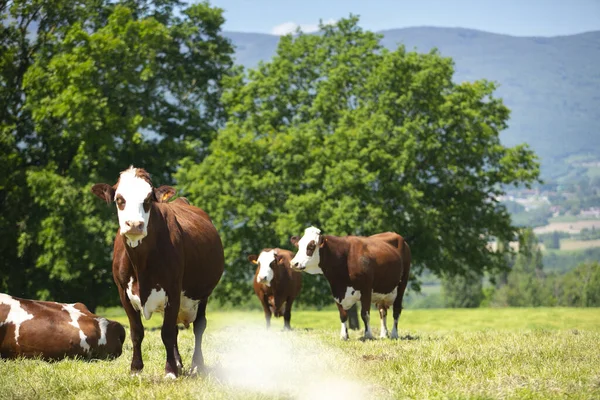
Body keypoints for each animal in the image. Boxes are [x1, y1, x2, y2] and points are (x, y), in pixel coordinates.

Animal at [91, 166, 225, 378]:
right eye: (119, 199)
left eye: (148, 200)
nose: (134, 224)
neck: (141, 264)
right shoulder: (123, 292)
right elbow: (137, 332)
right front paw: (136, 368)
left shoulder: (173, 289)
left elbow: (167, 332)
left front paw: (170, 371)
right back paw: (179, 362)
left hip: (202, 293)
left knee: (198, 326)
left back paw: (196, 365)